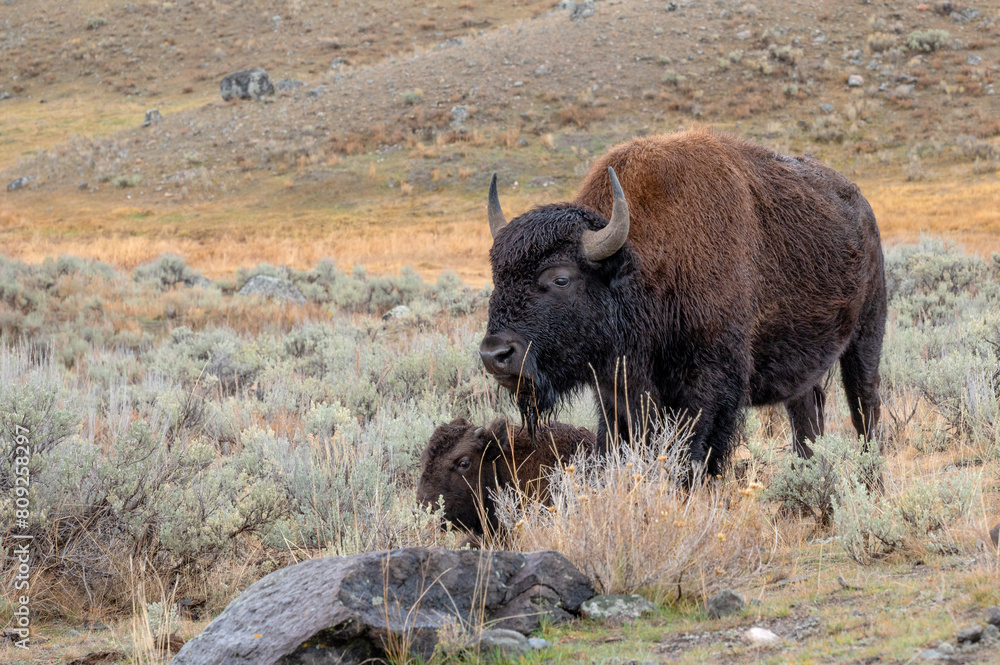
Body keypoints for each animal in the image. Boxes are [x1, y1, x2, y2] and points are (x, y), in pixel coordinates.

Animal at [480, 130, 888, 474]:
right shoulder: (616, 393)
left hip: (866, 338)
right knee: (806, 420)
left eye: (561, 278)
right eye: (497, 276)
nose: (495, 354)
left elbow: (692, 457)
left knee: (866, 414)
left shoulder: (708, 390)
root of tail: (863, 208)